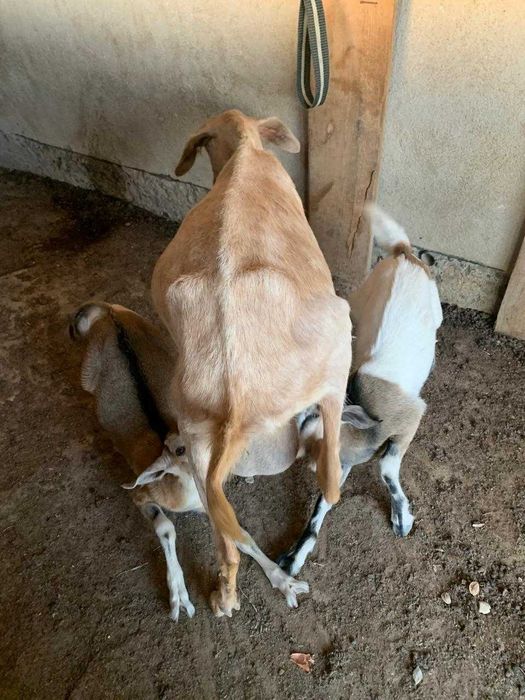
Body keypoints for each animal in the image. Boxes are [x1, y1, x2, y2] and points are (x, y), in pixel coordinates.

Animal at [70, 302, 323, 619]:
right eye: (180, 450)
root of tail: (109, 311)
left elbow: (241, 535)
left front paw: (285, 582)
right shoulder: (142, 494)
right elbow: (166, 528)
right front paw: (180, 598)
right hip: (88, 375)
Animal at [151, 109, 352, 616]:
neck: (245, 149)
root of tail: (236, 395)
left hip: (195, 435)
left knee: (227, 536)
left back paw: (224, 596)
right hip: (337, 341)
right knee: (331, 473)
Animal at [277, 203, 443, 576]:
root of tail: (403, 252)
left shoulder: (412, 418)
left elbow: (386, 468)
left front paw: (402, 519)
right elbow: (321, 507)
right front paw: (295, 557)